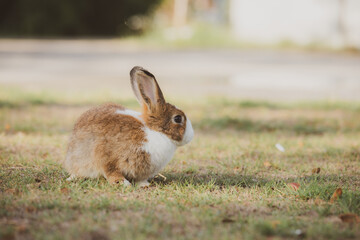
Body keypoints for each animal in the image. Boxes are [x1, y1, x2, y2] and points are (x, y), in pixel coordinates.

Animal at [64, 66, 194, 188]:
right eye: (178, 118)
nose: (191, 135)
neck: (154, 131)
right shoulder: (105, 155)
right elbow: (111, 171)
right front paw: (122, 183)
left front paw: (144, 184)